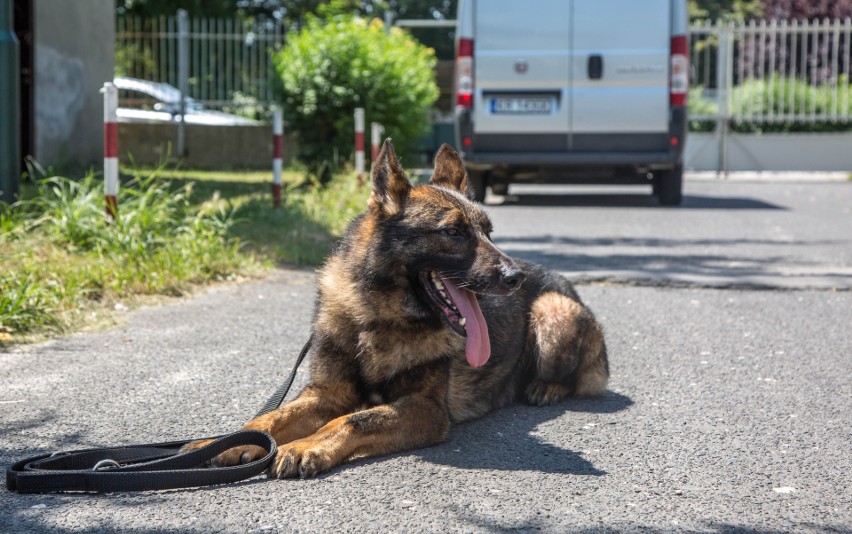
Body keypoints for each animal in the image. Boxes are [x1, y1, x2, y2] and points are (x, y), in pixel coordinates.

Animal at [188, 140, 612, 480]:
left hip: (553, 310)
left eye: (488, 233)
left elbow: (354, 419)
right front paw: (221, 441)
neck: (378, 318)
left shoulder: (425, 409)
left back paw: (545, 386)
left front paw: (305, 445)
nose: (515, 278)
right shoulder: (325, 393)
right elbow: (268, 419)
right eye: (453, 233)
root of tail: (563, 283)